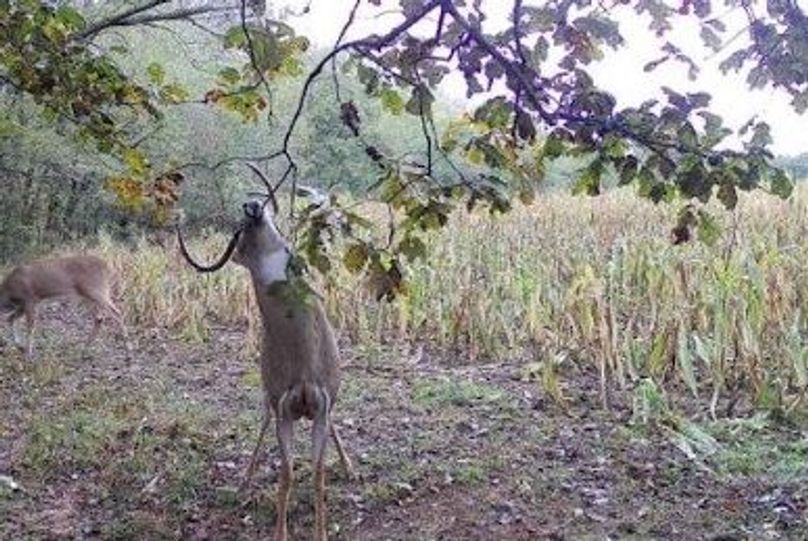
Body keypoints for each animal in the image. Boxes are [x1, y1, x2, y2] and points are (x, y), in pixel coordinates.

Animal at [0, 255, 128, 359]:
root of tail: (105, 266)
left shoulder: (30, 299)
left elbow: (30, 327)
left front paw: (28, 353)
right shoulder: (22, 305)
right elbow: (10, 319)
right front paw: (19, 346)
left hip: (96, 290)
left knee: (116, 312)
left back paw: (128, 348)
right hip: (88, 295)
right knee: (99, 318)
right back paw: (85, 349)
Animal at [177, 164, 355, 541]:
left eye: (276, 223)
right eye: (240, 231)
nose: (252, 205)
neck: (302, 368)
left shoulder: (322, 405)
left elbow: (317, 472)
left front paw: (321, 532)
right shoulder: (282, 403)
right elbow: (287, 474)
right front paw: (279, 533)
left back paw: (350, 468)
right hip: (267, 391)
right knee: (263, 418)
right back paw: (243, 480)